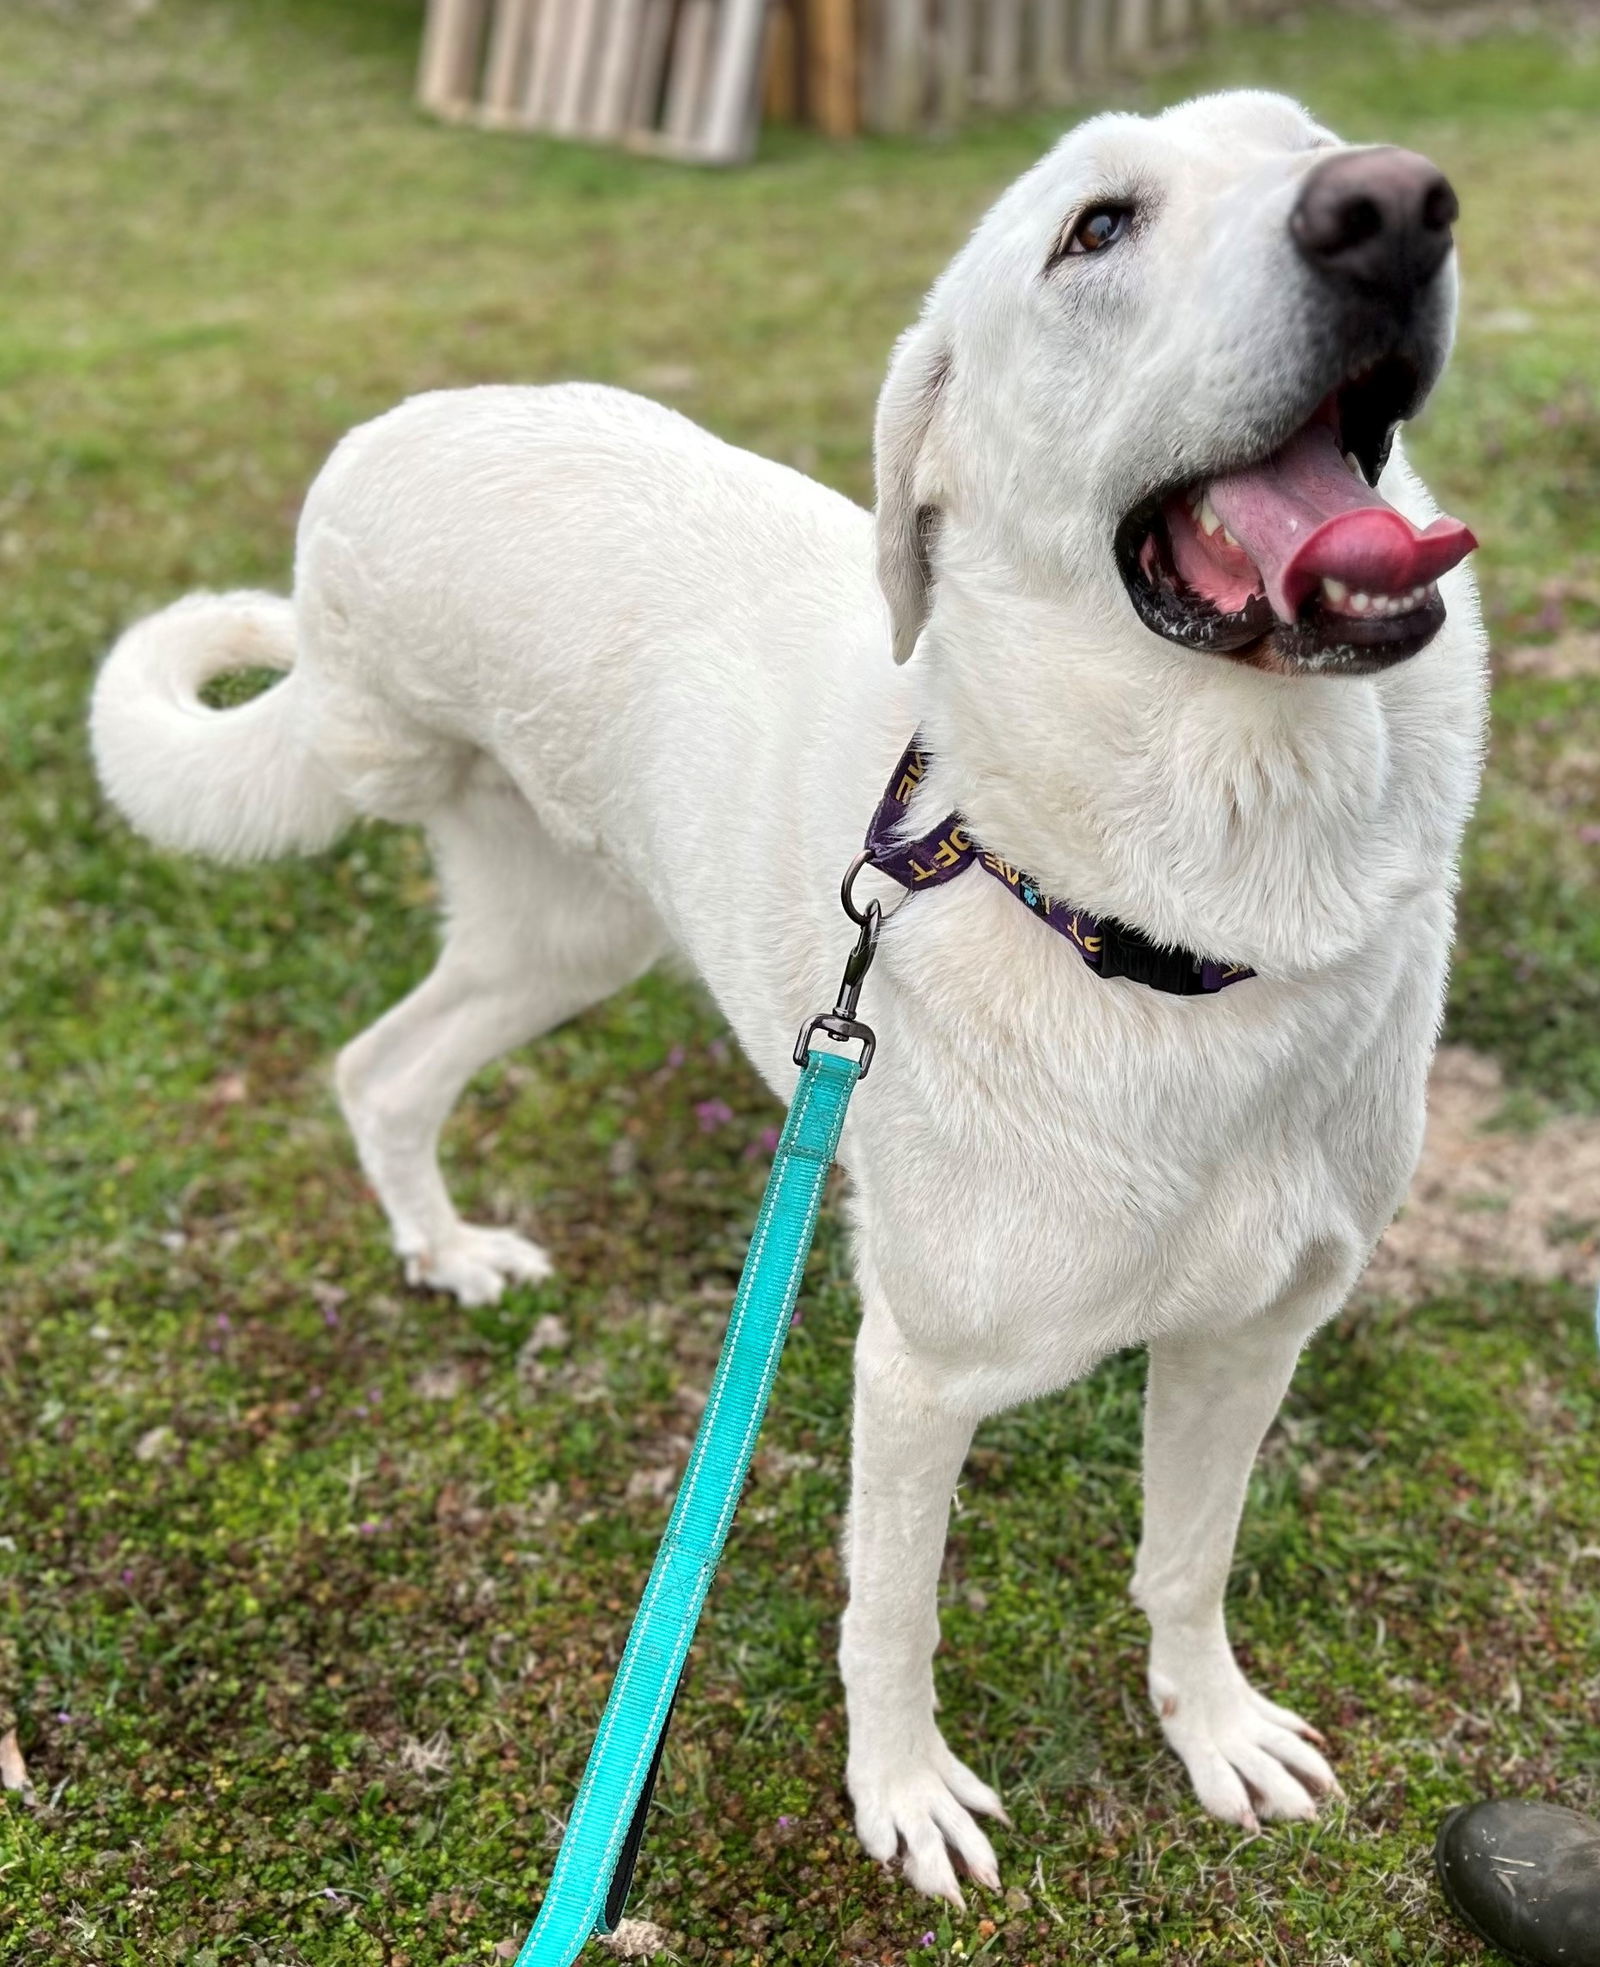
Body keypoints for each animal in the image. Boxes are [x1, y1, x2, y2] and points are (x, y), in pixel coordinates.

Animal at [90, 92, 1487, 1904]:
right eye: (1097, 229)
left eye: (1307, 138)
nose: (1396, 206)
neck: (1174, 923)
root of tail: (388, 439)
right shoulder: (919, 1374)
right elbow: (891, 1616)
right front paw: (902, 1795)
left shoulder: (1255, 1335)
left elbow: (1188, 1563)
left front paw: (1215, 1731)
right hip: (406, 785)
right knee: (378, 1036)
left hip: (569, 937)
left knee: (382, 1067)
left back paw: (446, 1252)